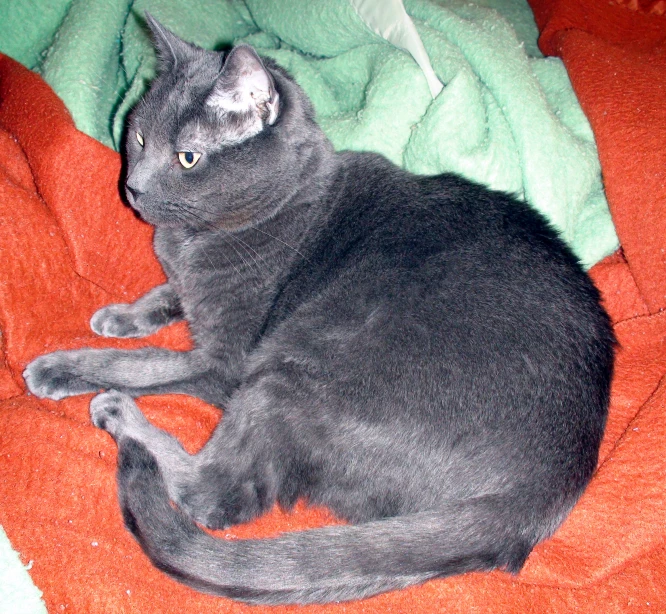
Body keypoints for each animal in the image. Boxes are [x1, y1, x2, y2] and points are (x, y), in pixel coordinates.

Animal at [23, 15, 616, 608]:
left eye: (187, 157)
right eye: (141, 137)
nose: (132, 187)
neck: (199, 236)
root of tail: (546, 488)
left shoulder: (225, 361)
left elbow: (142, 362)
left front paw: (61, 366)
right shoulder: (189, 286)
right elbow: (166, 295)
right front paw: (119, 314)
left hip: (294, 365)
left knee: (216, 494)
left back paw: (121, 417)